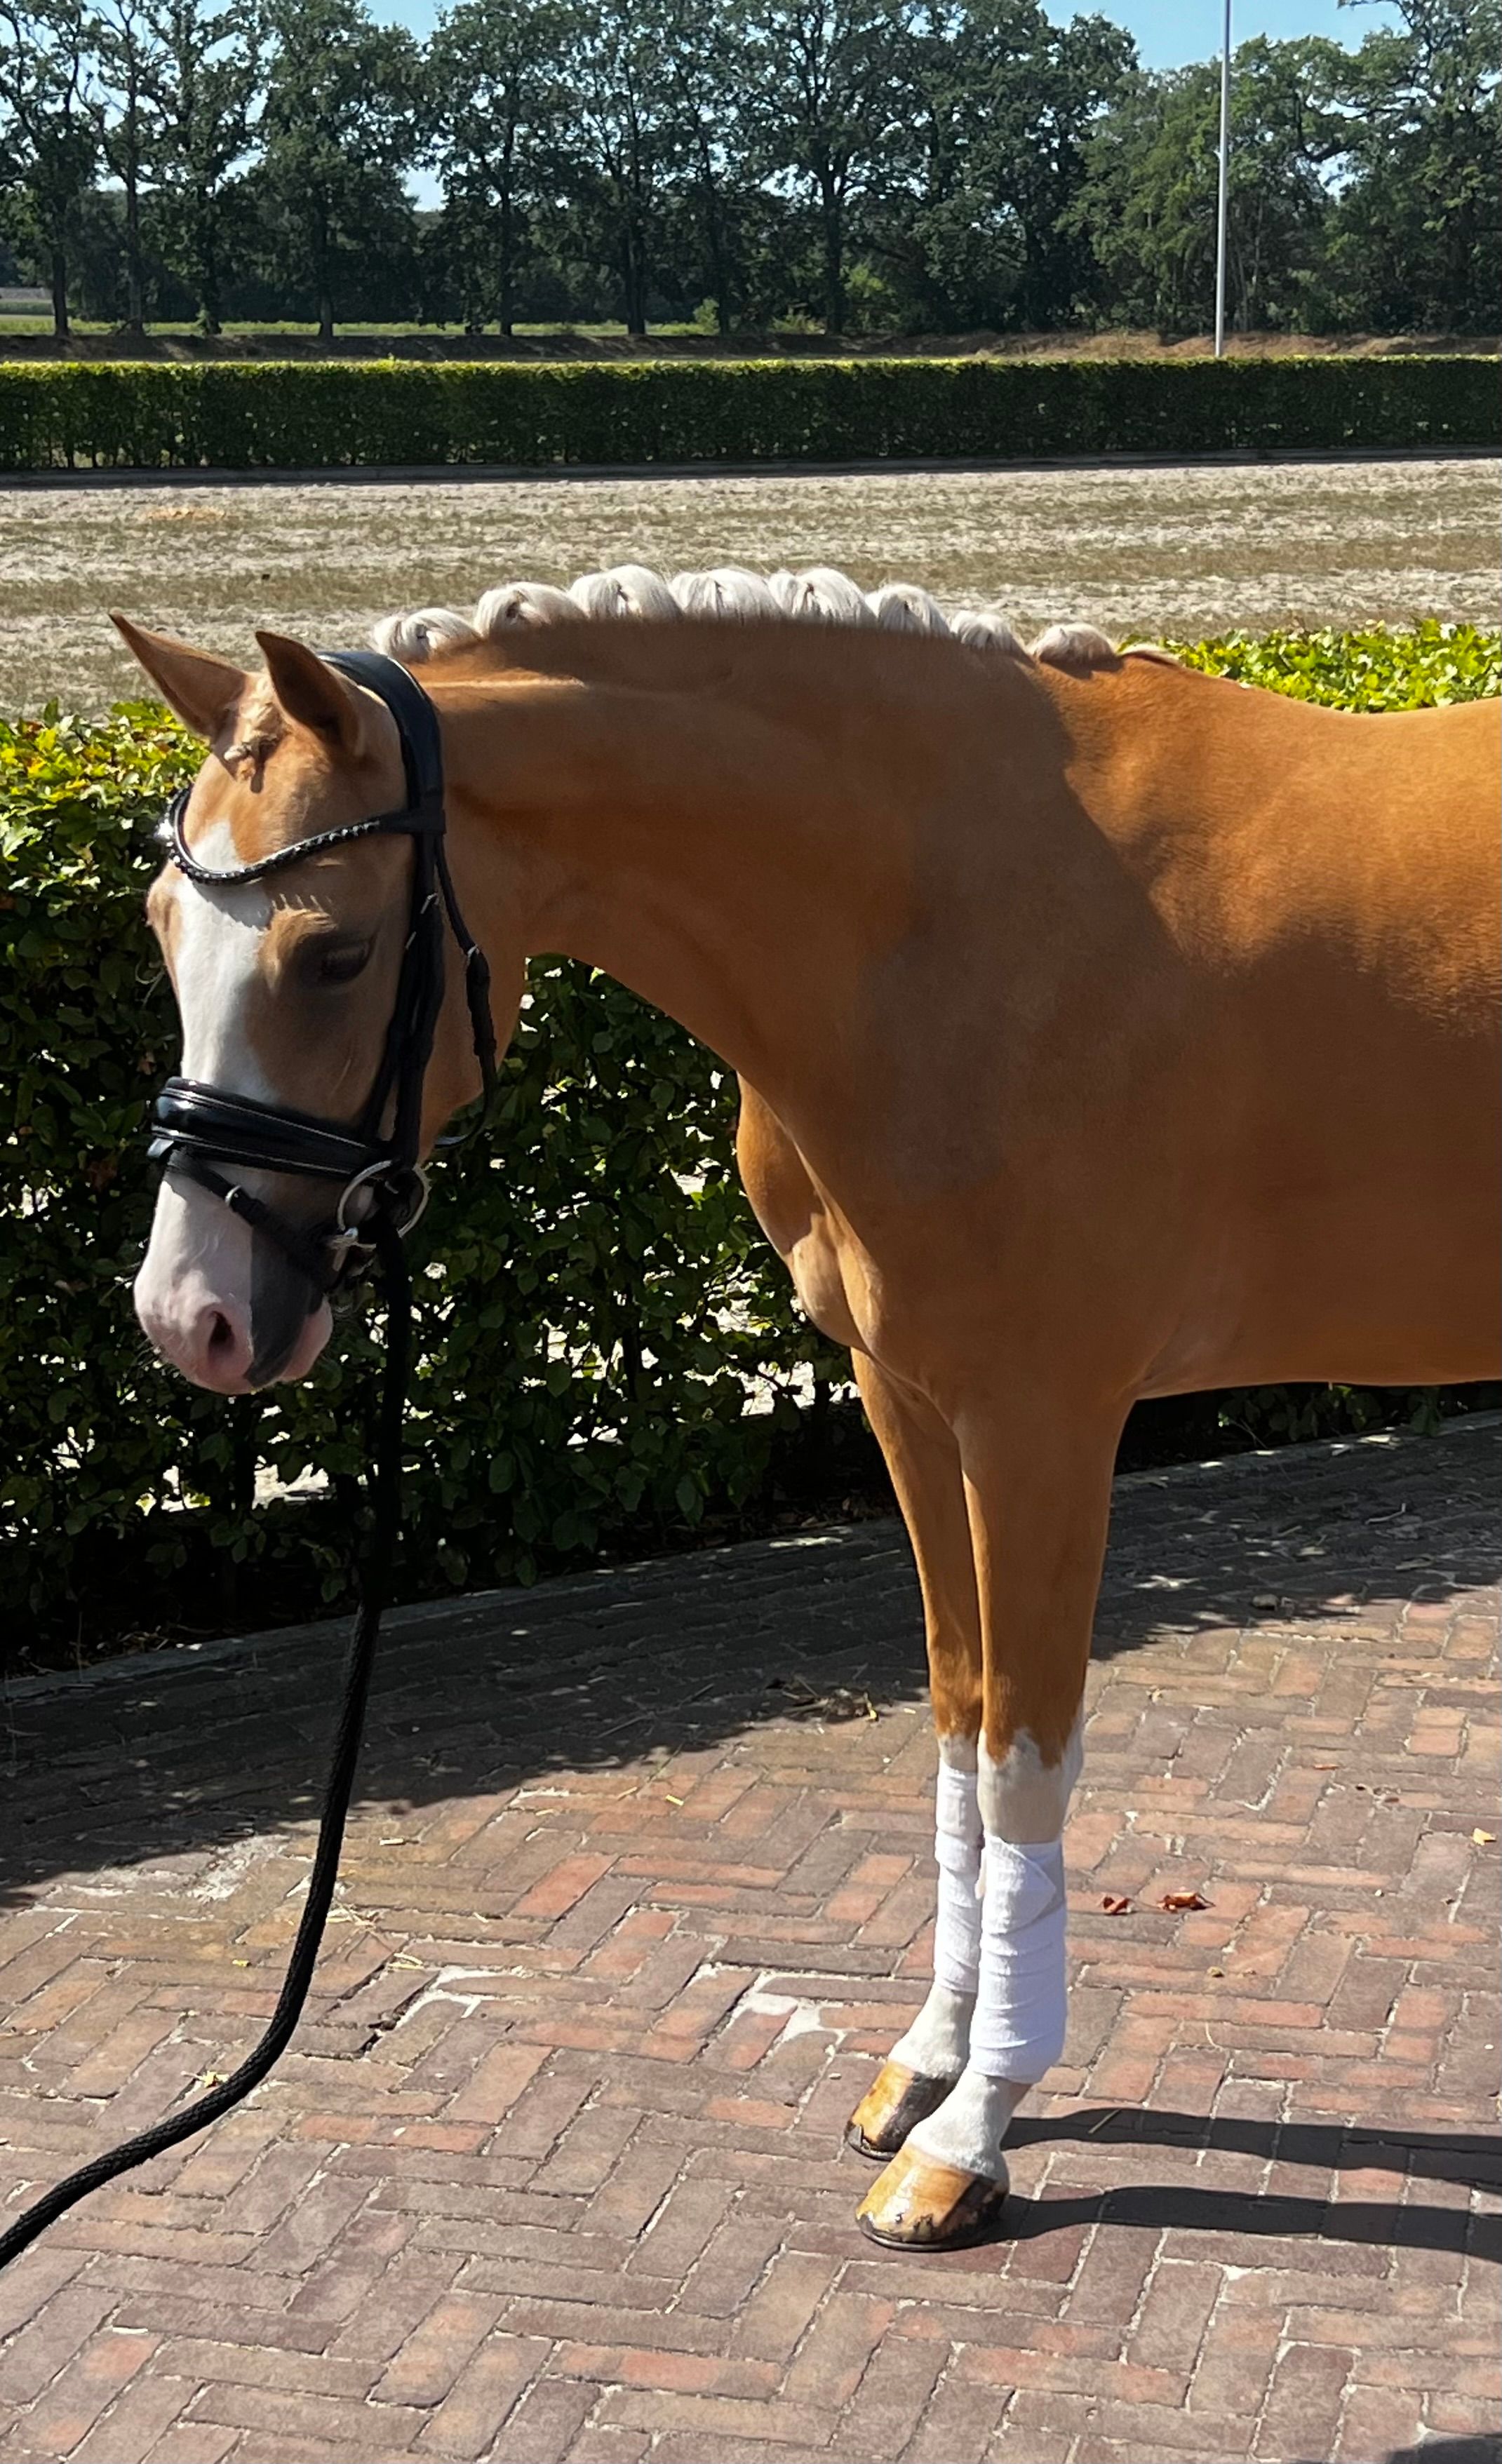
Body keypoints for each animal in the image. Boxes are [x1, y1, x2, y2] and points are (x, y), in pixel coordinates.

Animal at [116, 564, 1500, 2252]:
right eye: (159, 924)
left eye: (328, 952)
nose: (192, 1314)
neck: (949, 913)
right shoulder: (907, 1398)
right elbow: (960, 1723)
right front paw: (926, 2063)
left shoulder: (1042, 1421)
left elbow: (1026, 1759)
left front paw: (972, 2131)